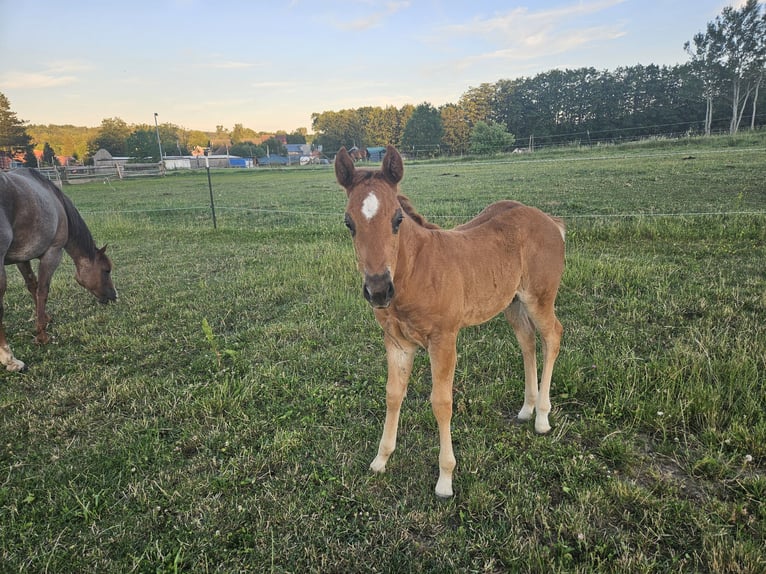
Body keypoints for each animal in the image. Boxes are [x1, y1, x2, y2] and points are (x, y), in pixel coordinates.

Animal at [0, 168, 117, 372]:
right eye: (106, 270)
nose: (114, 296)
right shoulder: (52, 253)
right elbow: (43, 290)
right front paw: (42, 335)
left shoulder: (22, 258)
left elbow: (32, 285)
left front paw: (44, 318)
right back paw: (10, 360)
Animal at [335, 145, 565, 498]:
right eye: (349, 223)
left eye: (397, 219)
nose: (378, 290)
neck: (414, 272)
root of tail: (550, 220)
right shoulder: (397, 342)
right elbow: (393, 394)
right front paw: (381, 459)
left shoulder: (443, 340)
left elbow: (441, 402)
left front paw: (445, 479)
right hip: (512, 303)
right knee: (527, 341)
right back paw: (527, 409)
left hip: (539, 298)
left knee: (552, 336)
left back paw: (541, 417)